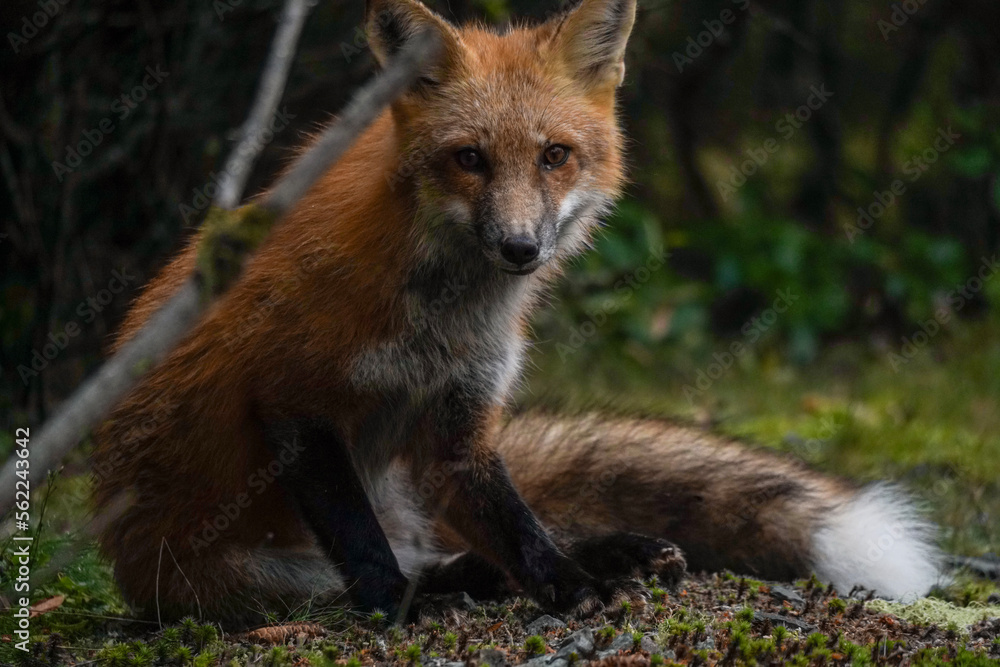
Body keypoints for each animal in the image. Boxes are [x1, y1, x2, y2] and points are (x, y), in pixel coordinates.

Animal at [91, 0, 943, 627]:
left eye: (554, 155)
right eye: (468, 158)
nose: (520, 247)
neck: (442, 316)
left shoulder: (462, 418)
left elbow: (519, 521)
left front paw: (566, 580)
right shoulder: (290, 395)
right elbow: (362, 544)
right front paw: (399, 603)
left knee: (476, 538)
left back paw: (600, 554)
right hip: (243, 573)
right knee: (386, 565)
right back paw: (454, 584)